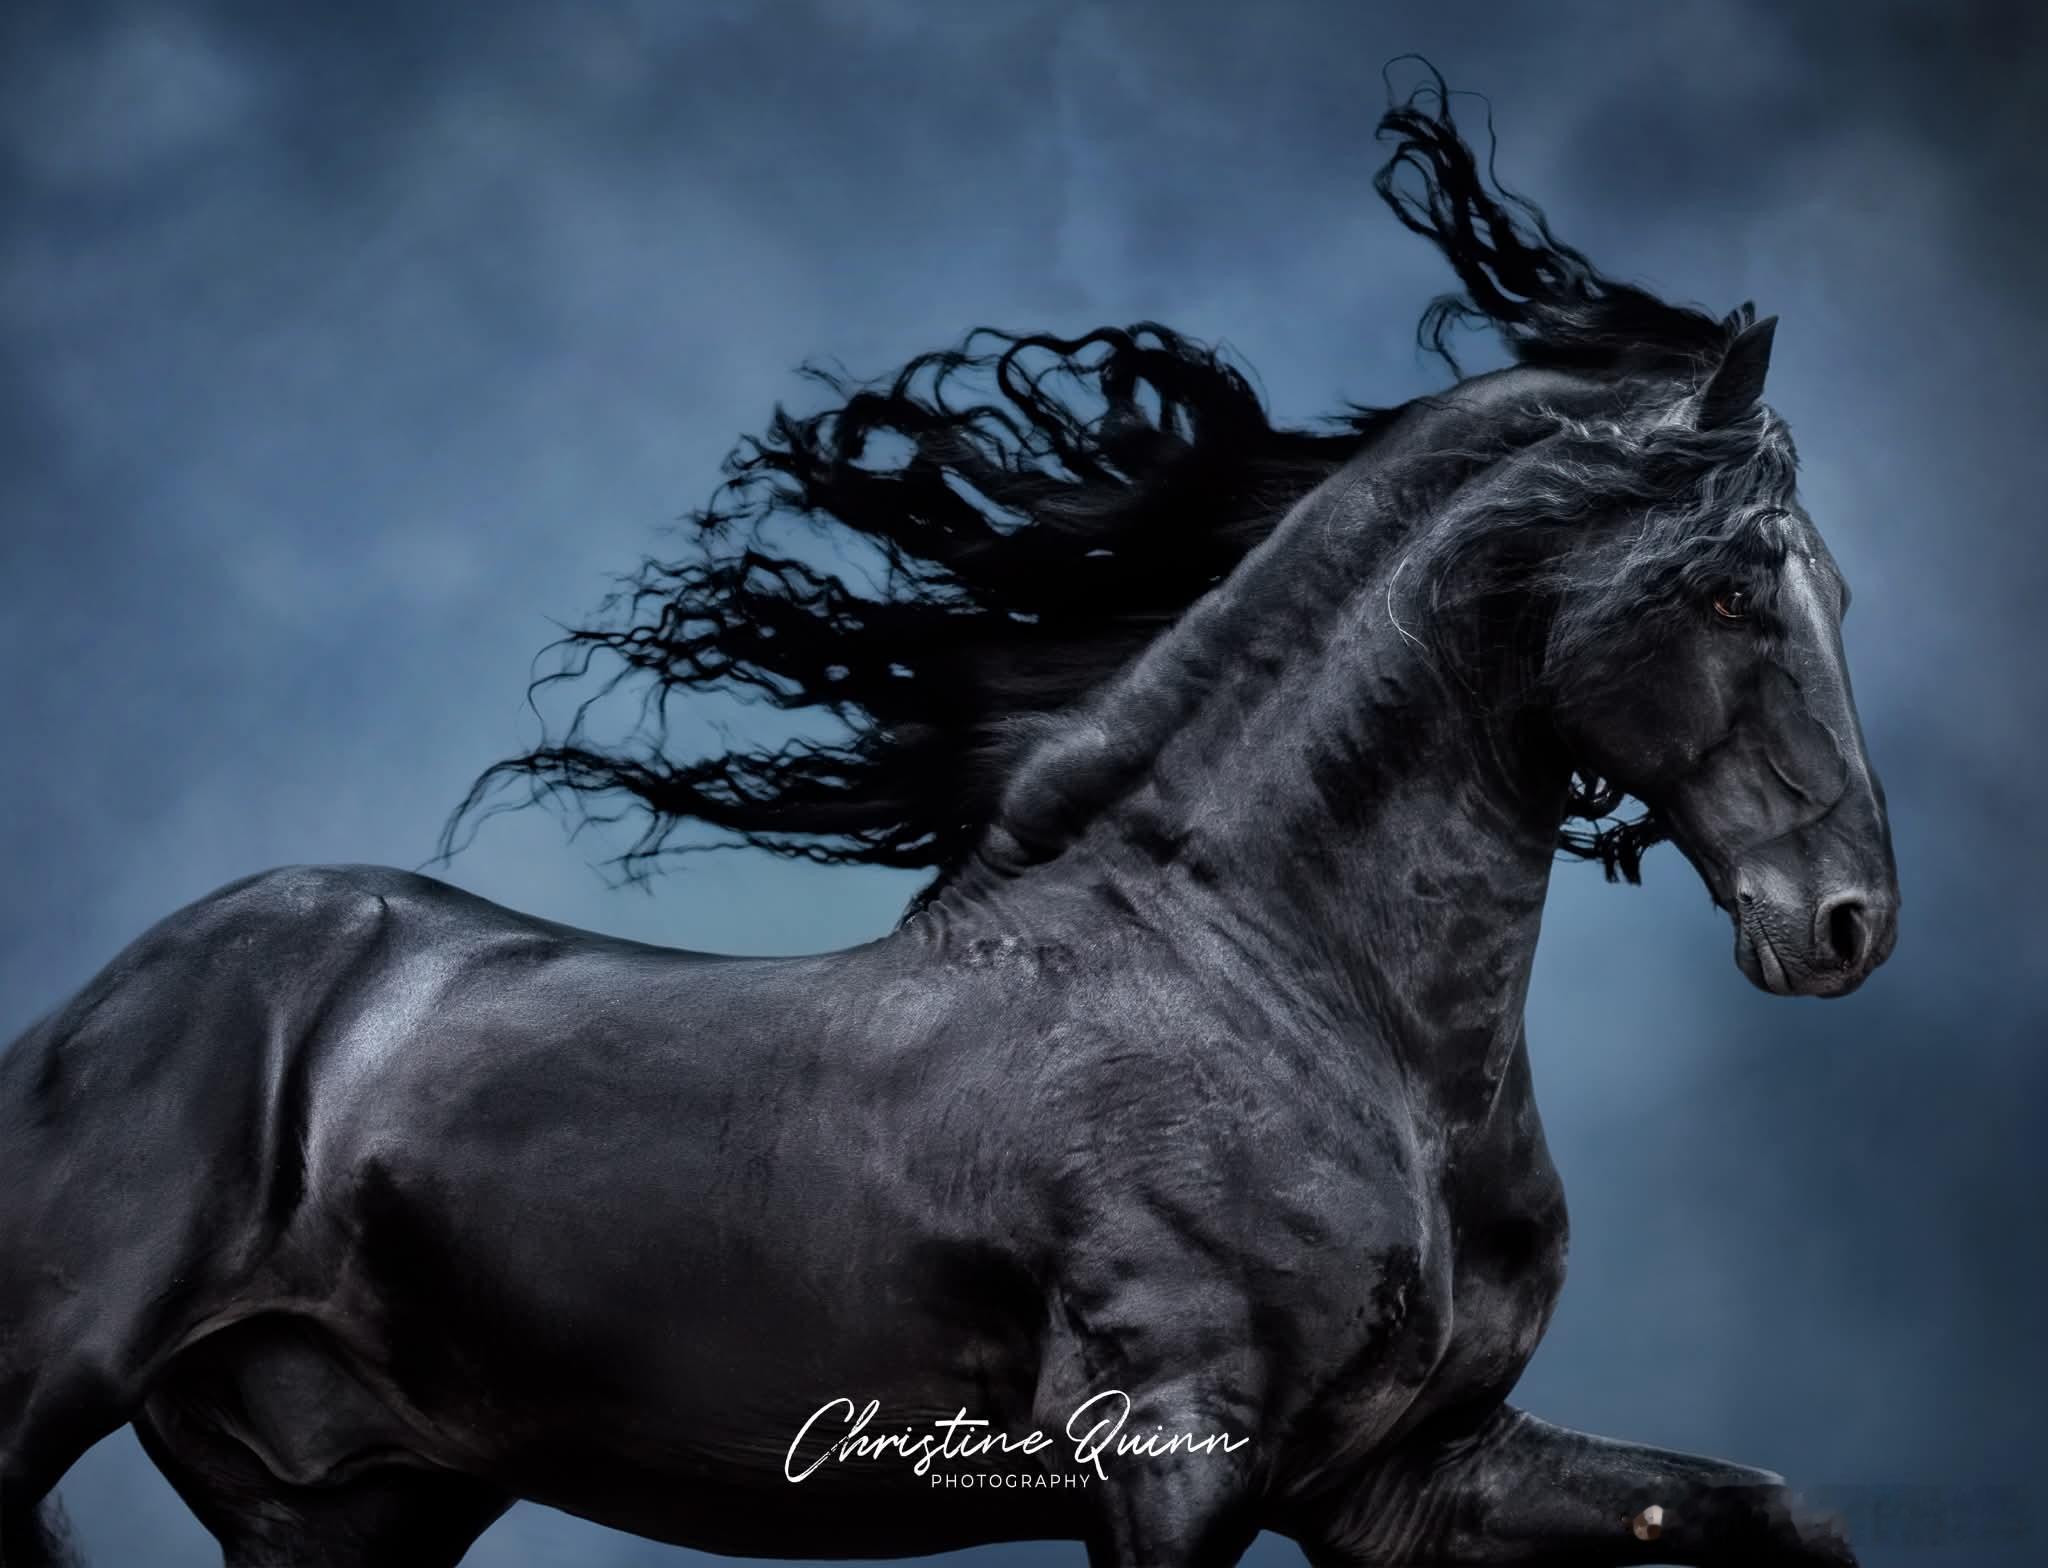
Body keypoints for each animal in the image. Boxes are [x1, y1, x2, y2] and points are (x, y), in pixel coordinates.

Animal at [0, 80, 1897, 1568]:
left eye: (1835, 589)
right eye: (1730, 590)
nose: (1845, 921)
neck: (1297, 999)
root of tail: (93, 1013)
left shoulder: (1412, 1478)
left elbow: (1785, 1516)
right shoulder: (1173, 1458)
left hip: (347, 1504)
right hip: (48, 1387)